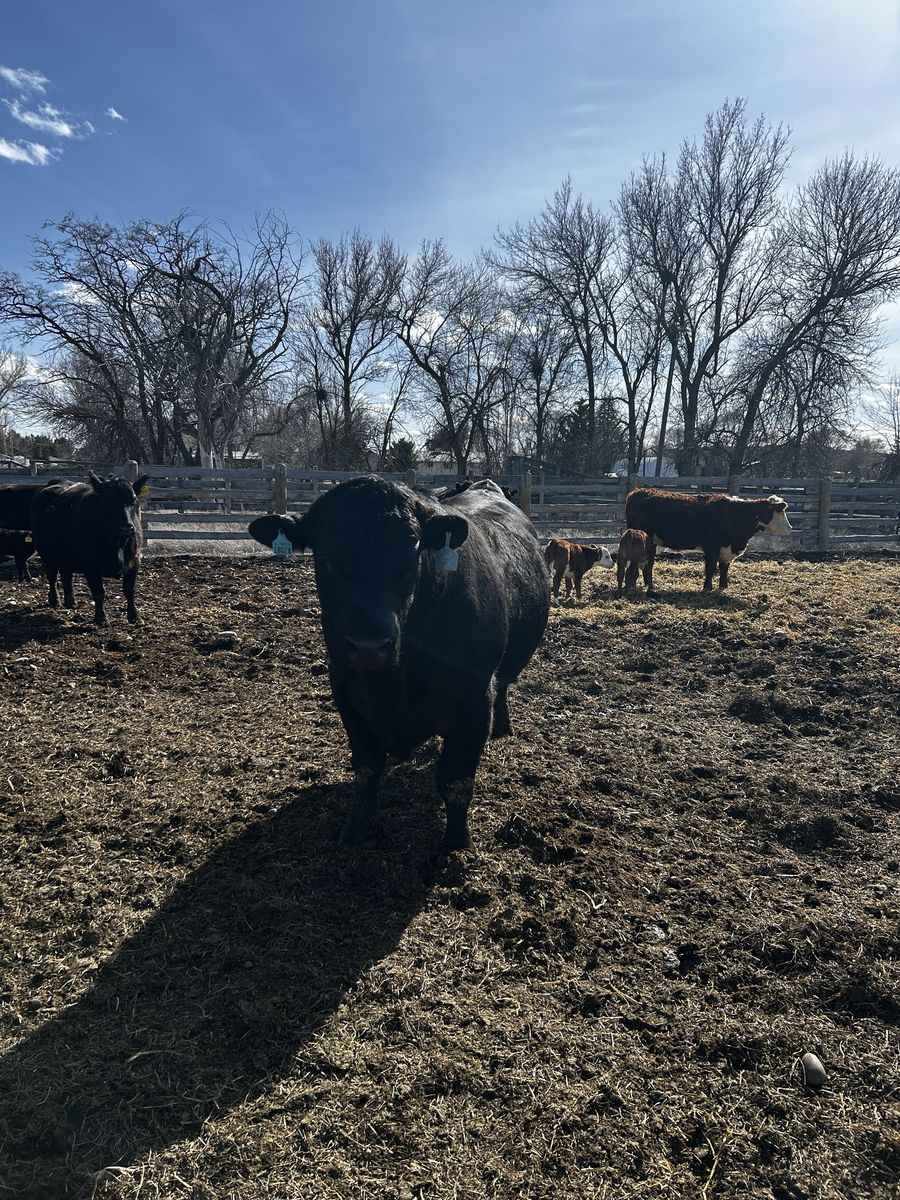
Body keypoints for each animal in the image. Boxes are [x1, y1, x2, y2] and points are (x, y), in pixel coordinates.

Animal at [31, 473, 150, 625]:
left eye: (133, 500)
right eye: (107, 501)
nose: (126, 528)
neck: (116, 544)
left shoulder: (134, 562)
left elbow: (129, 590)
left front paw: (135, 616)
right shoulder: (91, 566)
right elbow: (99, 593)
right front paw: (101, 618)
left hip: (66, 556)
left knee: (66, 576)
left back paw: (71, 601)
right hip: (48, 556)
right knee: (52, 578)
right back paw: (54, 600)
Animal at [248, 476, 549, 851]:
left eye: (411, 557)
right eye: (325, 558)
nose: (368, 647)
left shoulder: (475, 699)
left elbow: (456, 780)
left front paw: (455, 844)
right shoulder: (344, 689)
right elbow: (366, 768)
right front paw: (356, 828)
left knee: (504, 686)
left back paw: (503, 726)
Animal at [624, 487, 792, 593]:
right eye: (780, 512)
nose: (790, 527)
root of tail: (637, 492)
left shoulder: (726, 550)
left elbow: (724, 568)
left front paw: (723, 586)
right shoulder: (712, 548)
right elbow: (710, 568)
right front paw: (707, 588)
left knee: (646, 564)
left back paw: (648, 584)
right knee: (646, 564)